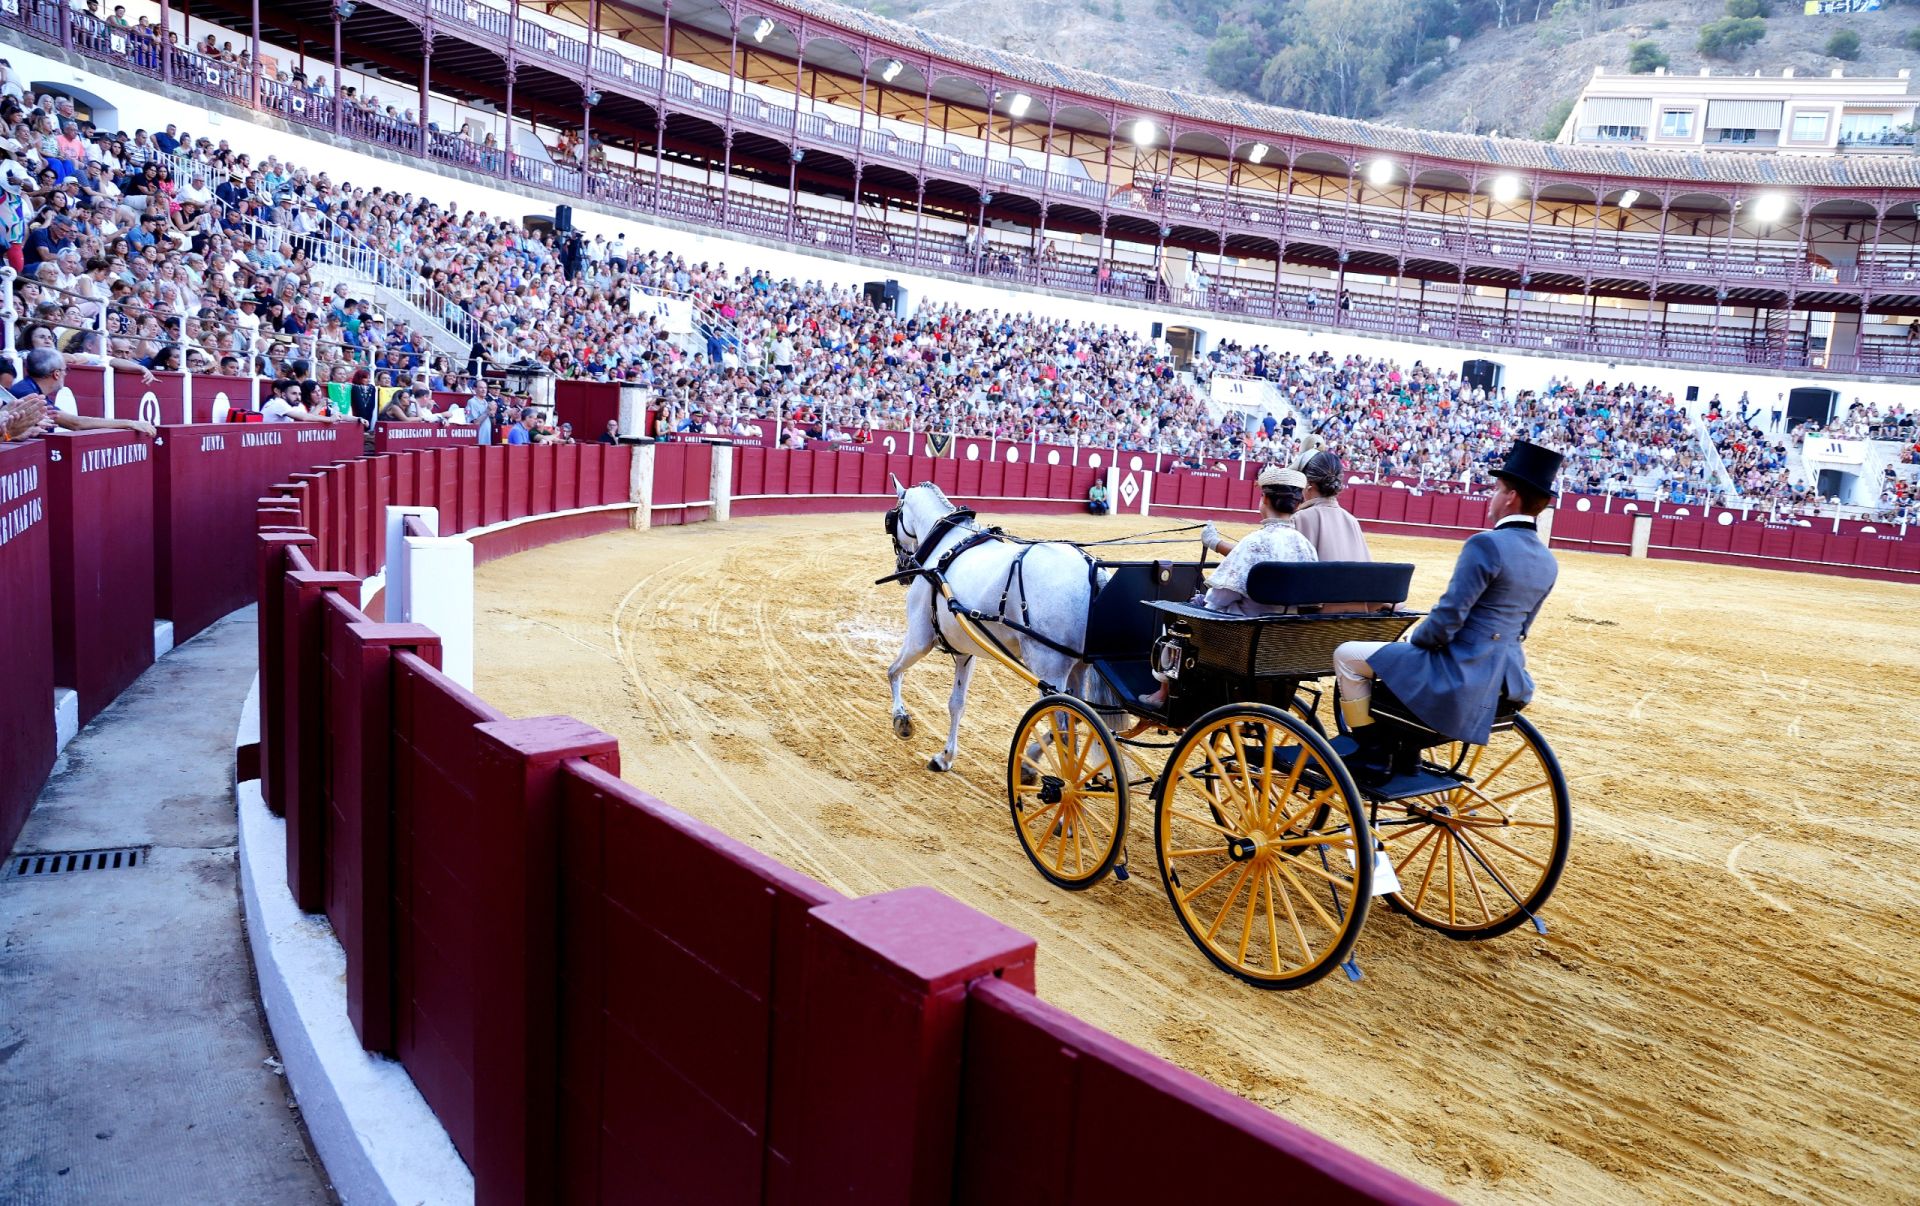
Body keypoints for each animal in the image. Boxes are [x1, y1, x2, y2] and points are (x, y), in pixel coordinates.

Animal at [883, 478, 1113, 771]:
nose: (901, 569)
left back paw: (1041, 769)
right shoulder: (964, 651)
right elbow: (957, 703)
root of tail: (1091, 567)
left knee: (1061, 719)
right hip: (1079, 668)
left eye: (893, 518)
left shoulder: (920, 639)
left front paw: (901, 721)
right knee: (1075, 718)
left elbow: (893, 671)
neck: (946, 546)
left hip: (1049, 668)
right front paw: (945, 757)